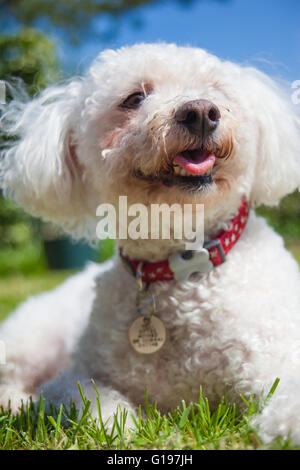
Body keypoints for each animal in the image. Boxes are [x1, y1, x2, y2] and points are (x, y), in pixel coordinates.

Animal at [0, 43, 300, 444]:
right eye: (134, 98)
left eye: (216, 88)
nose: (200, 112)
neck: (182, 266)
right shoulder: (72, 377)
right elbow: (86, 396)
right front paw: (122, 423)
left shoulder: (274, 354)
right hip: (32, 336)